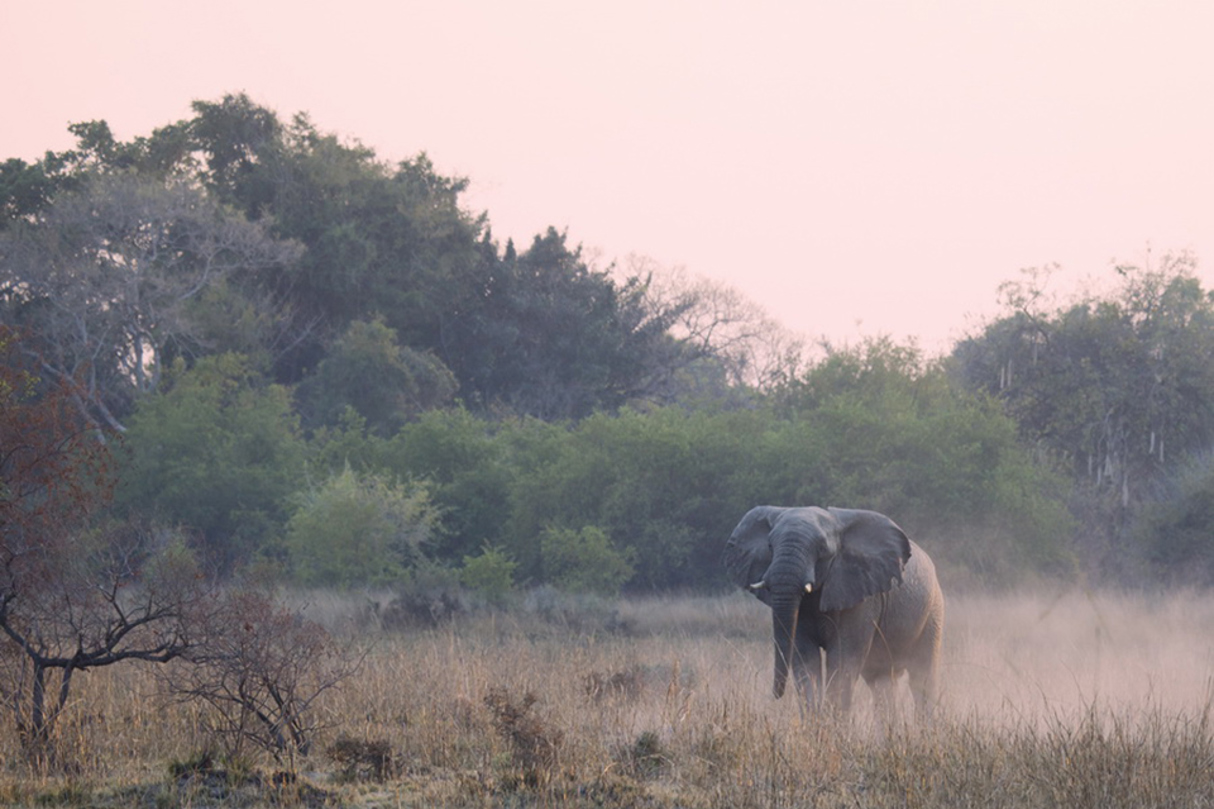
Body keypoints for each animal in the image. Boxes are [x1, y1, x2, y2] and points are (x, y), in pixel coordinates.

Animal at [722, 505, 944, 718]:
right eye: (770, 546)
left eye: (821, 549)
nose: (775, 695)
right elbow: (805, 660)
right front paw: (814, 724)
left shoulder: (860, 598)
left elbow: (842, 661)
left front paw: (834, 725)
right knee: (882, 681)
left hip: (933, 611)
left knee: (922, 677)